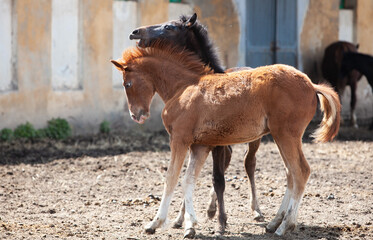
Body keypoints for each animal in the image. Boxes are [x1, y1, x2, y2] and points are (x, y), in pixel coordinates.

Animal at [110, 44, 340, 238]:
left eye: (127, 84)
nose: (137, 115)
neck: (182, 88)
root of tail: (311, 84)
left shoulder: (179, 139)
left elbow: (171, 179)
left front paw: (155, 223)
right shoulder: (200, 146)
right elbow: (188, 180)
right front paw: (190, 225)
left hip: (286, 134)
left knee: (300, 171)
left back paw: (285, 226)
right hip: (280, 135)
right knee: (290, 174)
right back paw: (274, 222)